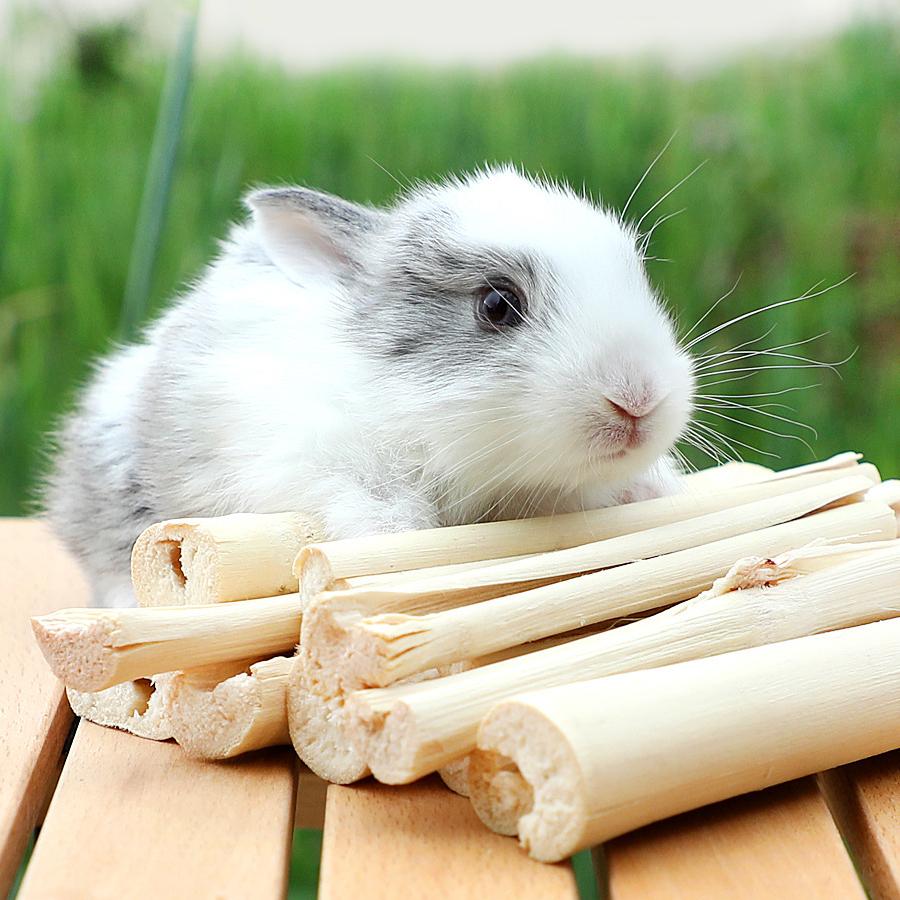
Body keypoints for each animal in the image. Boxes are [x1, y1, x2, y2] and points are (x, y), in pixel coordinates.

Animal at [45, 167, 695, 607]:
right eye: (497, 305)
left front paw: (653, 490)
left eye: (636, 275)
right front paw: (400, 546)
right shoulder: (315, 462)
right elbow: (374, 508)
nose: (639, 399)